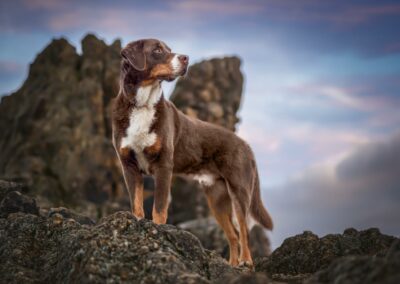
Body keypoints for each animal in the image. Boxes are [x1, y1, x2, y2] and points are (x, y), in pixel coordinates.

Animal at [111, 38, 274, 266]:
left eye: (169, 49)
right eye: (158, 50)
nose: (186, 58)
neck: (143, 105)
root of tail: (246, 145)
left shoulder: (164, 166)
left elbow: (159, 208)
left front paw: (157, 233)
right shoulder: (129, 165)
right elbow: (137, 204)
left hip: (239, 190)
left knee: (243, 230)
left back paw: (246, 262)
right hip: (216, 198)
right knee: (233, 234)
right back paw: (233, 265)